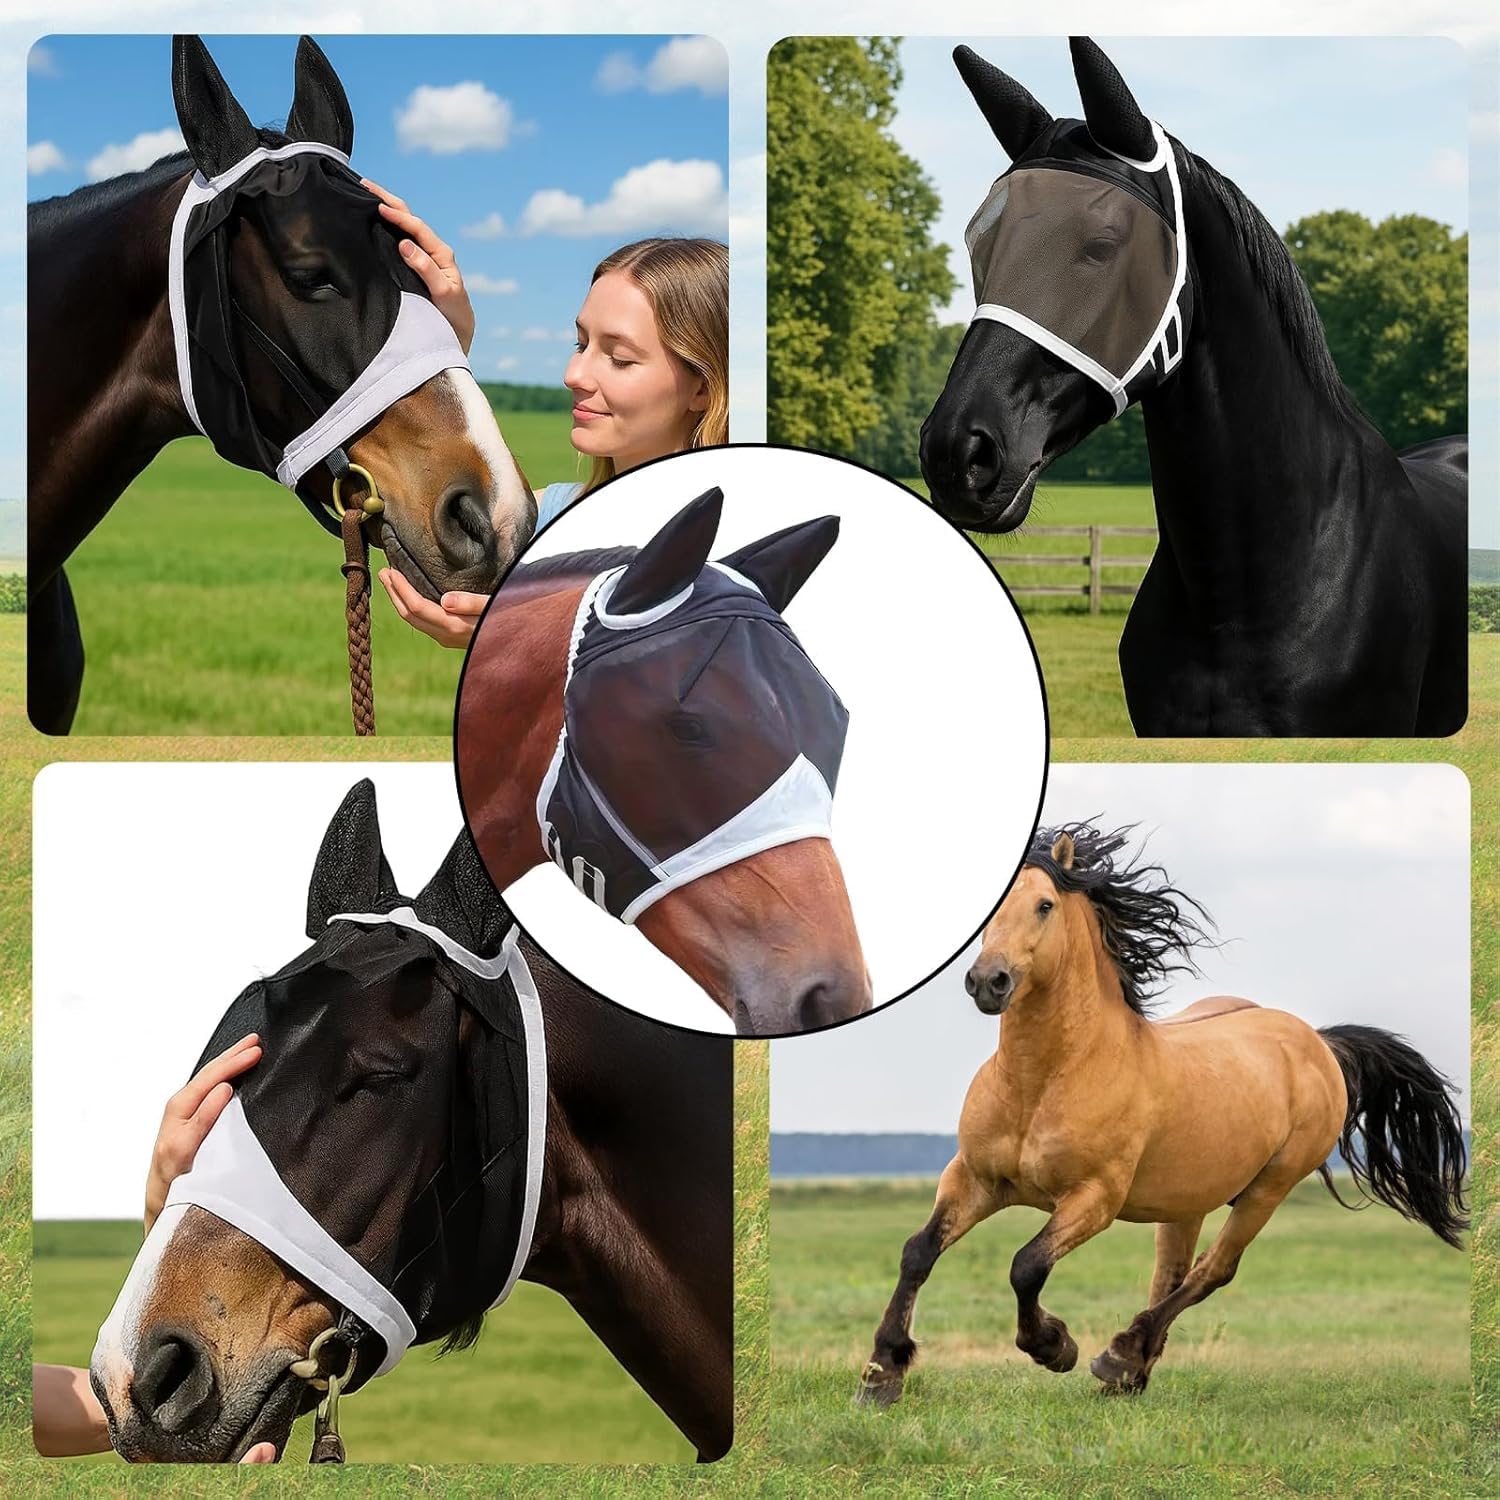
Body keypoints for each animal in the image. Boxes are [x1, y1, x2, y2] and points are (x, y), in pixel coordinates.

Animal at [858, 822, 1466, 1403]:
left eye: (1044, 905)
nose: (988, 981)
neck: (1044, 1081)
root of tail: (1317, 1043)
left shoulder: (1094, 1198)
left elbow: (1026, 1265)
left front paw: (1055, 1347)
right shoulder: (974, 1179)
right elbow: (918, 1252)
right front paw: (882, 1372)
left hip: (1269, 1188)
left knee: (1212, 1270)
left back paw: (1119, 1355)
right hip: (1186, 1200)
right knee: (1170, 1275)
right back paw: (1129, 1373)